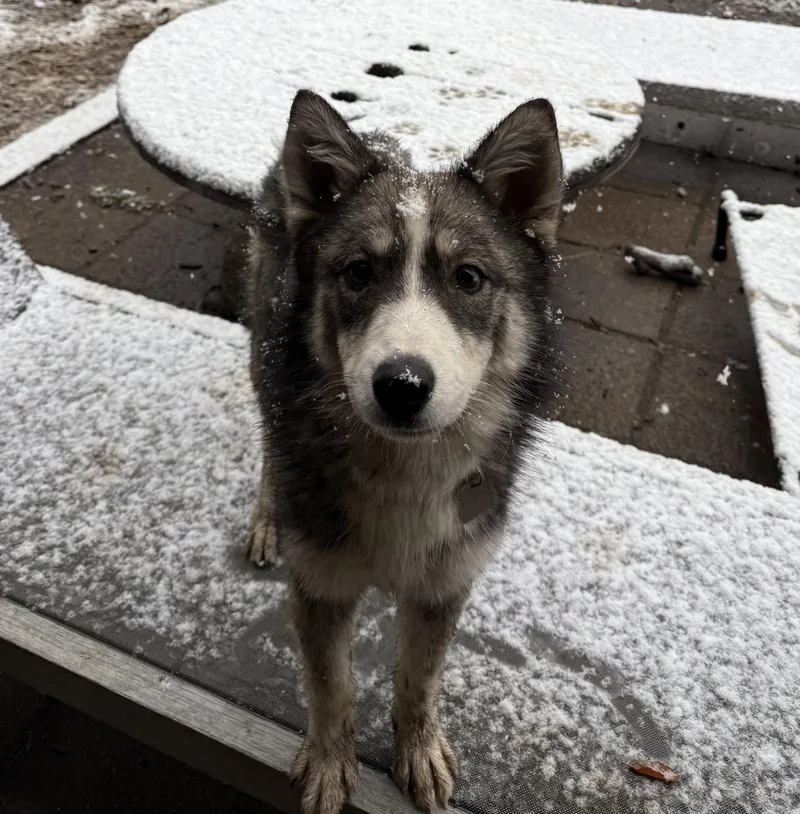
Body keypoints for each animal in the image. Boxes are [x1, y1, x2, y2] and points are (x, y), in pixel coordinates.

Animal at [243, 89, 563, 814]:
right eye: (358, 272)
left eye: (468, 278)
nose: (403, 386)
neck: (404, 469)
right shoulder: (321, 583)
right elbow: (330, 685)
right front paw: (330, 763)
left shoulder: (446, 581)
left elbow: (420, 677)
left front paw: (417, 751)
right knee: (270, 443)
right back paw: (268, 516)